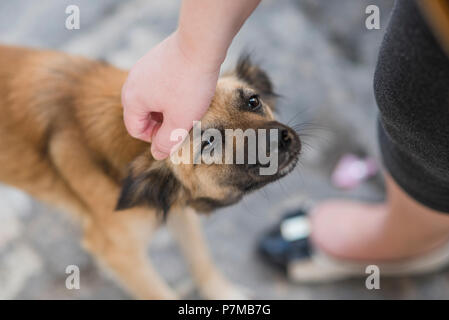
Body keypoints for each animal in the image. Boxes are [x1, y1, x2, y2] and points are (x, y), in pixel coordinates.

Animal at [0, 45, 300, 300]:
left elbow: (201, 260)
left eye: (253, 101)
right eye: (209, 143)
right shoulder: (119, 255)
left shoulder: (177, 211)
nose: (280, 140)